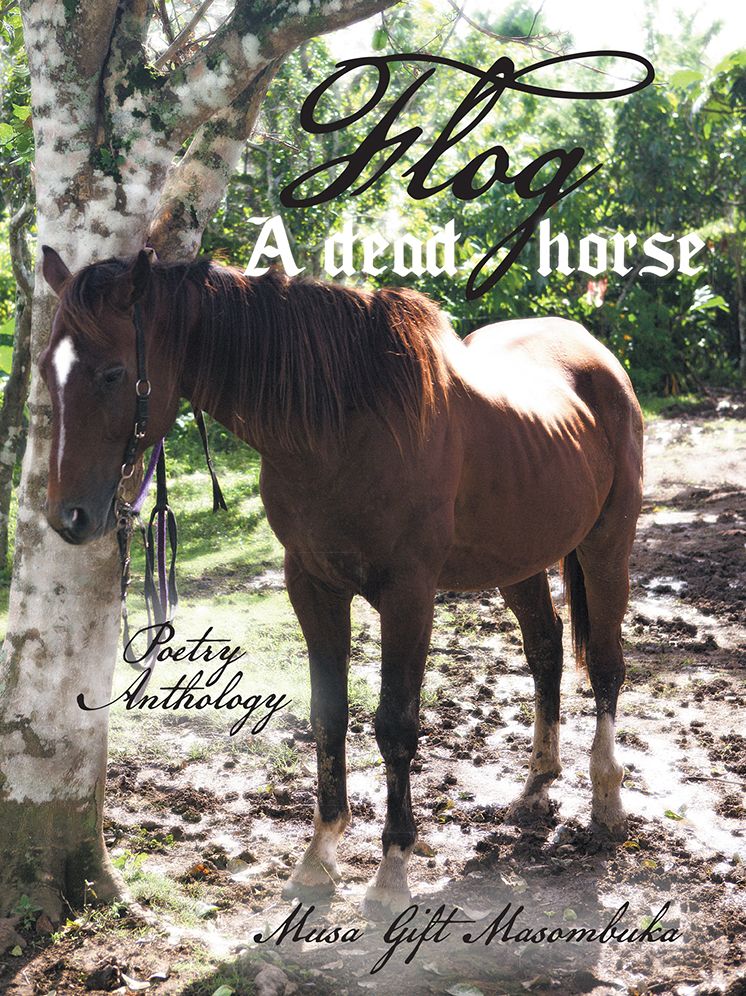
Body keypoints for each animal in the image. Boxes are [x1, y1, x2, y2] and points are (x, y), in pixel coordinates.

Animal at [39, 246, 643, 916]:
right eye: (45, 371)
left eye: (113, 373)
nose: (69, 516)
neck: (341, 429)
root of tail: (595, 353)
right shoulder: (312, 585)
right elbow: (328, 714)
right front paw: (319, 857)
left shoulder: (408, 596)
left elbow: (396, 725)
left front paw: (392, 870)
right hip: (519, 560)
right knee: (545, 649)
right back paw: (537, 787)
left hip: (606, 544)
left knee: (607, 664)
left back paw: (607, 801)